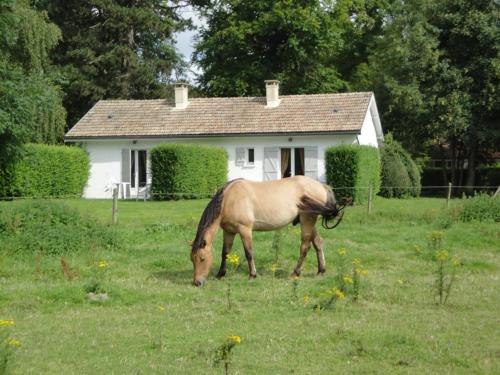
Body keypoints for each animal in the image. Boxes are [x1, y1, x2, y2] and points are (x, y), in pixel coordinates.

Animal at [189, 176, 346, 284]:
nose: (197, 282)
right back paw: (320, 271)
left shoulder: (245, 230)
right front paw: (221, 274)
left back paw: (295, 273)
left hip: (307, 220)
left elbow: (249, 253)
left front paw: (252, 275)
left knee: (305, 247)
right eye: (192, 259)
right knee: (318, 243)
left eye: (202, 258)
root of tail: (322, 186)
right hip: (308, 222)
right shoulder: (229, 231)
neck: (229, 199)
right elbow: (225, 253)